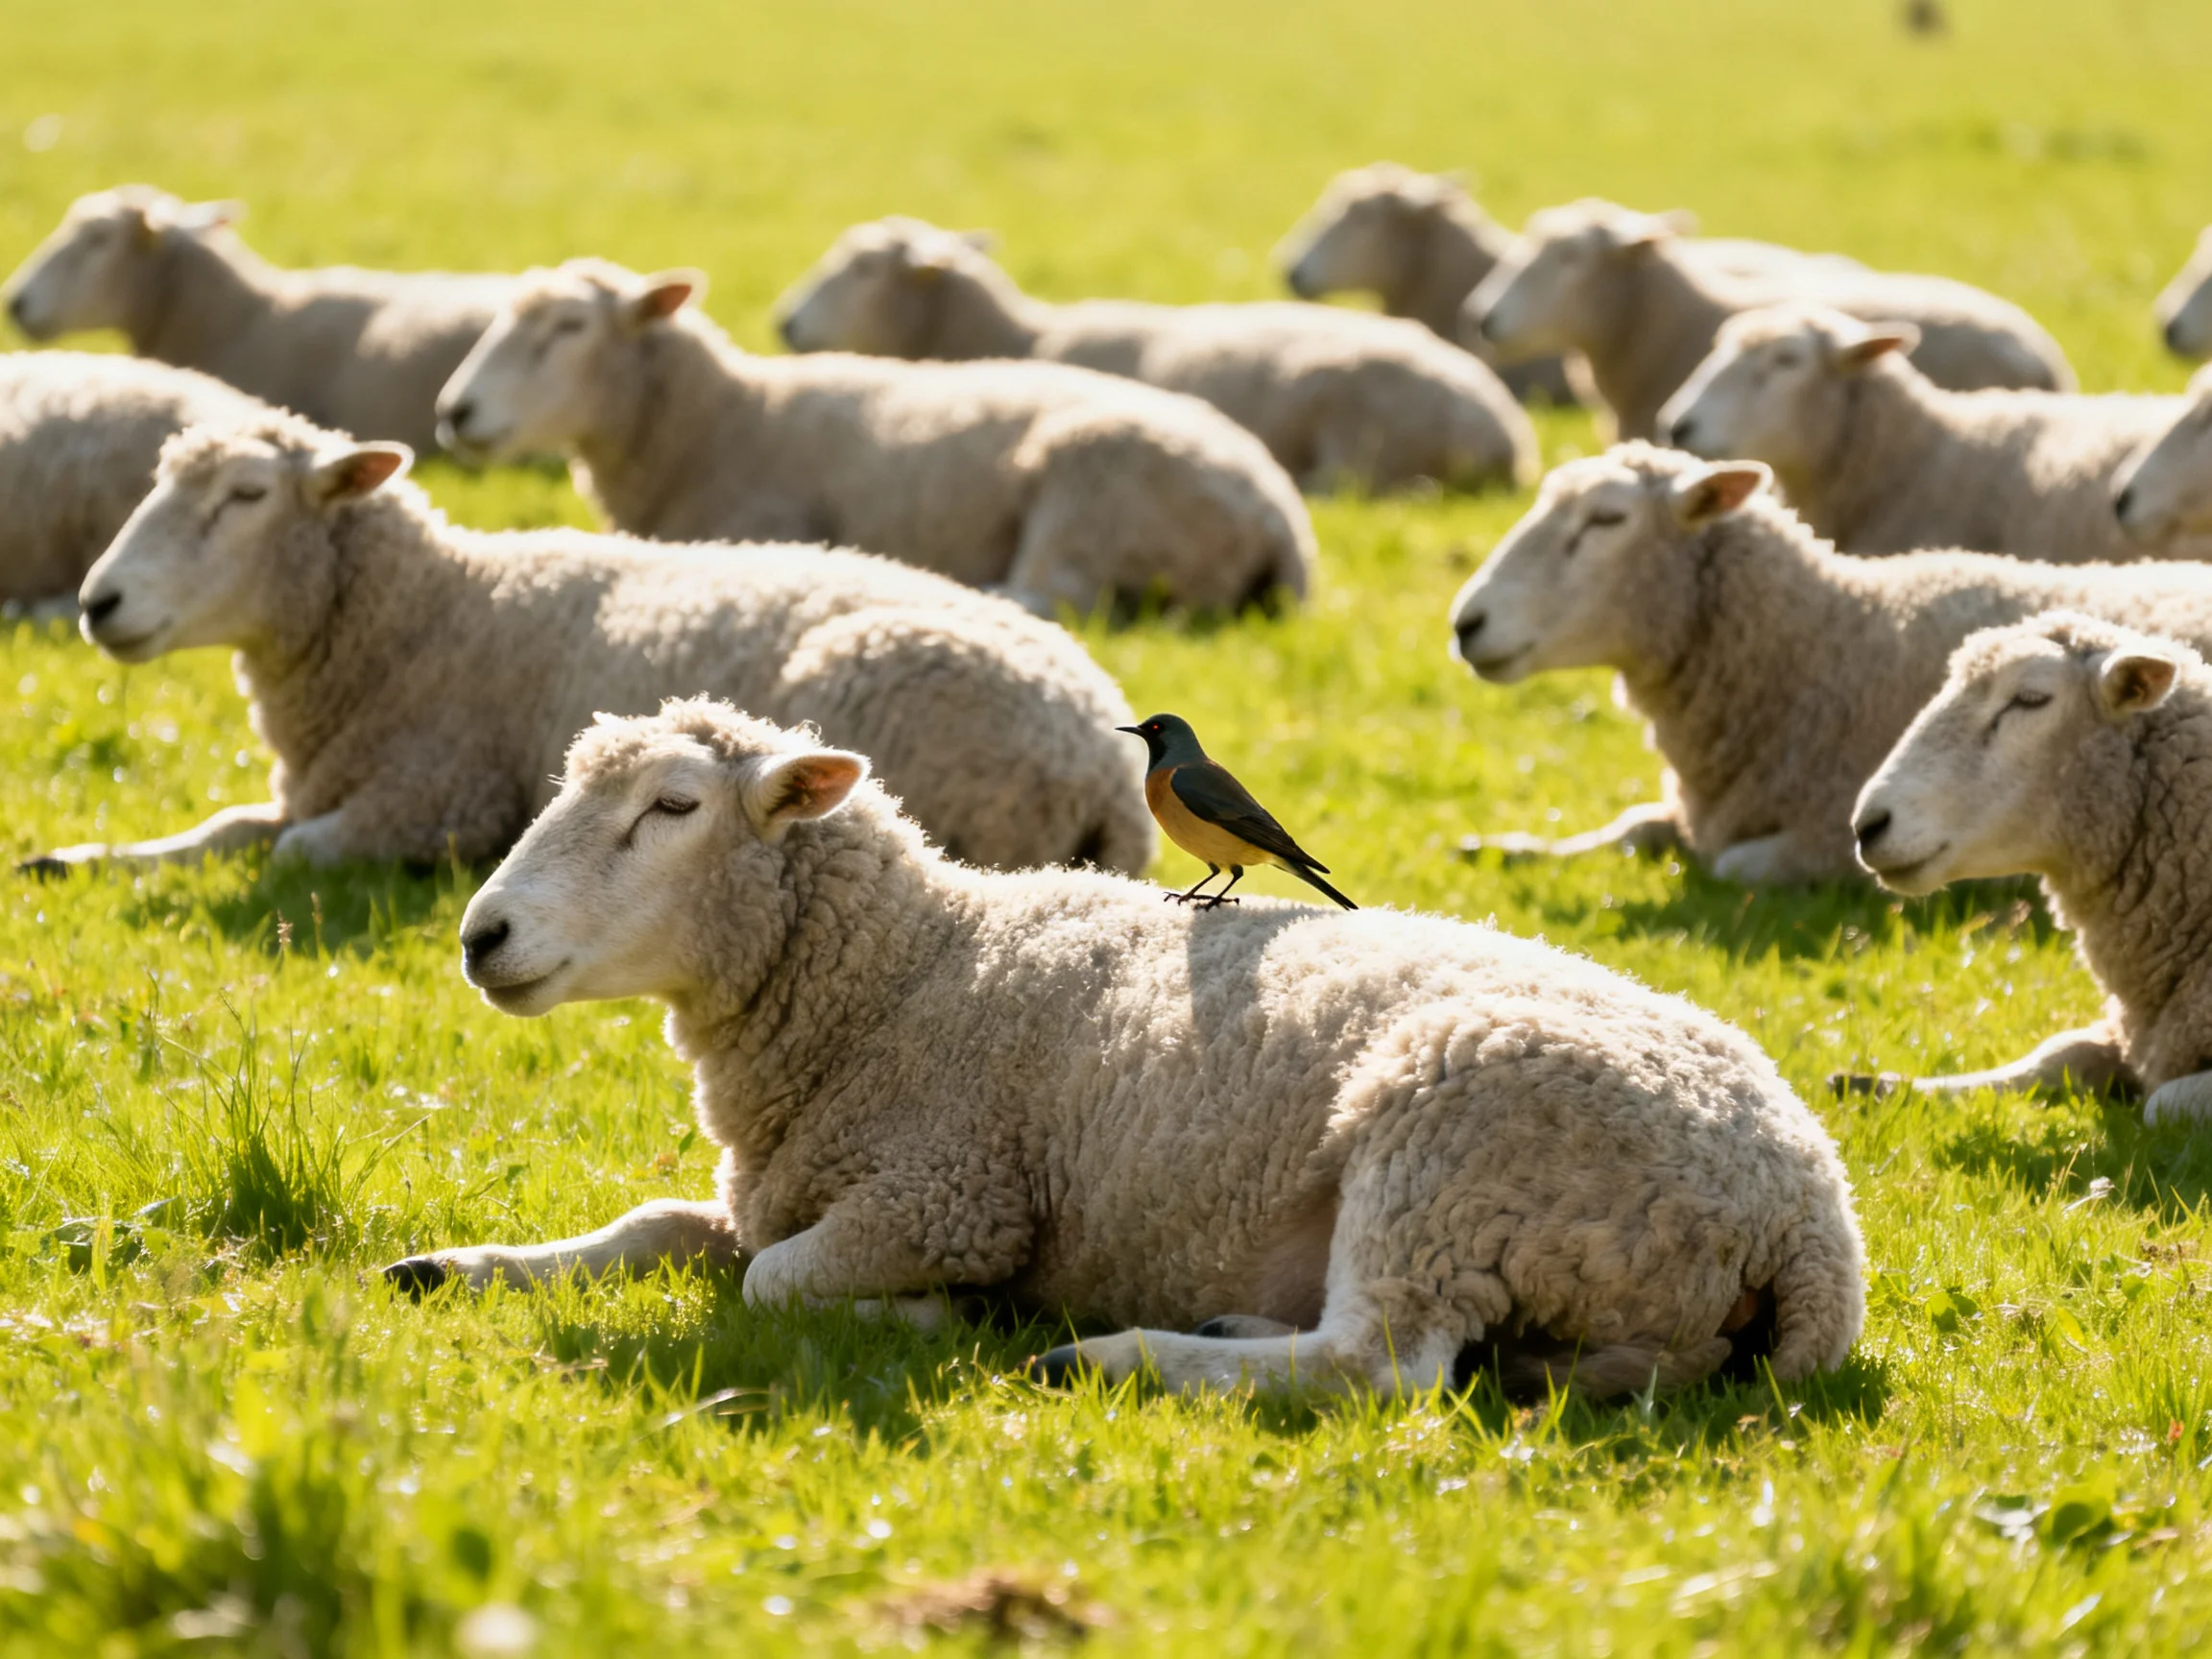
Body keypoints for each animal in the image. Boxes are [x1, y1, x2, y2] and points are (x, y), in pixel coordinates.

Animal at [22, 412, 1153, 878]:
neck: (428, 611)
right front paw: (70, 859)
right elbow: (221, 829)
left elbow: (289, 851)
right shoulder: (322, 785)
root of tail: (1105, 757)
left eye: (248, 496)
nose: (99, 603)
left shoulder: (435, 800)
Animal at [383, 698, 1866, 1402]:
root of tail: (1814, 1218)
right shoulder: (792, 1187)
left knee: (1377, 1366)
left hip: (1454, 1149)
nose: (481, 936)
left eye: (675, 807)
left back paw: (1106, 1358)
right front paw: (461, 1265)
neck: (909, 976)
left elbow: (770, 1285)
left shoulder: (947, 1193)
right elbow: (655, 1229)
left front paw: (945, 1321)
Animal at [437, 260, 1314, 615]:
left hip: (1094, 488)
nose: (456, 412)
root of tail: (1283, 519)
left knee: (1050, 593)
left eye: (570, 326)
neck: (724, 419)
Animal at [1448, 443, 2212, 885]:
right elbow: (1633, 826)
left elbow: (1729, 865)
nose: (1466, 624)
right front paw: (1506, 846)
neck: (1818, 642)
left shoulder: (1819, 836)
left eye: (1607, 520)